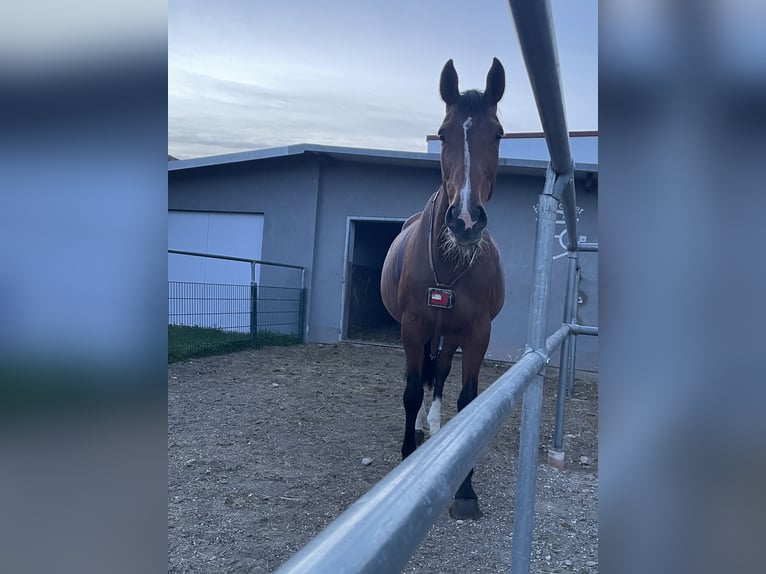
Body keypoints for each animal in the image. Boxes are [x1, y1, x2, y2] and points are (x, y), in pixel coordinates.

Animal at [380, 58, 506, 520]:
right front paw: (406, 452)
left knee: (441, 371)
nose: (465, 220)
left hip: (449, 333)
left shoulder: (476, 332)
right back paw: (420, 430)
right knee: (423, 375)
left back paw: (434, 428)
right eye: (443, 132)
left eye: (498, 133)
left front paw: (465, 489)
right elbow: (411, 390)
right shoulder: (413, 326)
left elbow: (466, 400)